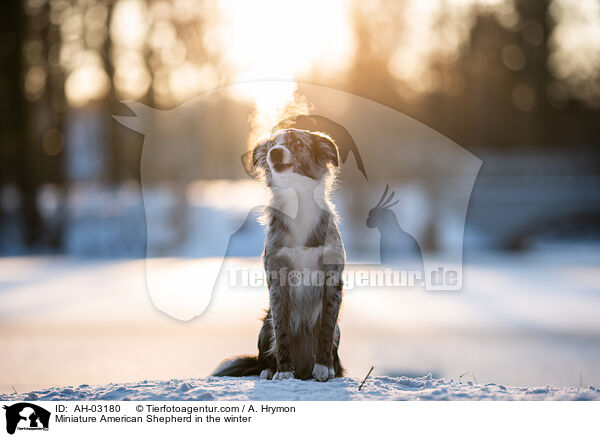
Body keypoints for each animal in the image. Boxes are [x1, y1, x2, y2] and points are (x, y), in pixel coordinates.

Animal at [214, 127, 346, 380]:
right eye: (271, 144)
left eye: (298, 143)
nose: (274, 152)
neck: (298, 199)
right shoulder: (277, 279)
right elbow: (282, 329)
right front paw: (284, 371)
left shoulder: (333, 277)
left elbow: (325, 328)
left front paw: (324, 367)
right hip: (265, 324)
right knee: (263, 355)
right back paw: (268, 369)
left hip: (338, 329)